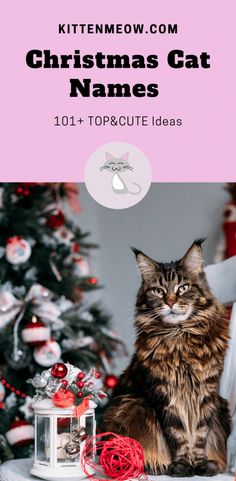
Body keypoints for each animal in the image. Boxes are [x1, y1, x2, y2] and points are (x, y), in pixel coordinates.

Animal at [105, 240, 230, 476]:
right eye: (158, 291)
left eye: (183, 288)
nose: (170, 302)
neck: (179, 338)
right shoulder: (164, 394)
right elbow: (178, 435)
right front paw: (182, 466)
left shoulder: (206, 393)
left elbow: (199, 434)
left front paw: (199, 464)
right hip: (132, 405)